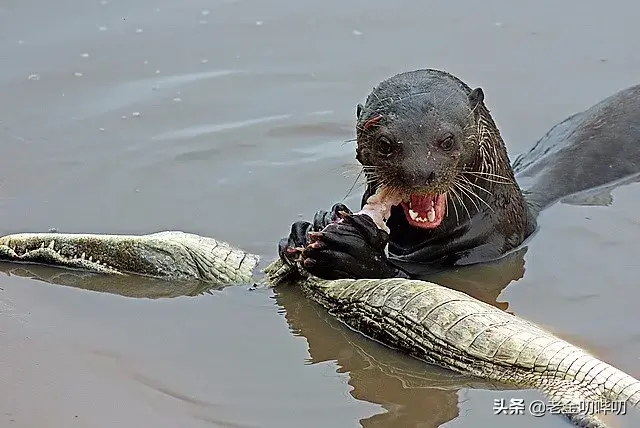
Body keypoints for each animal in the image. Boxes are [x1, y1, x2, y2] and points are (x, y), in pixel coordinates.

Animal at [278, 70, 640, 280]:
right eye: (384, 143)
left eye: (447, 139)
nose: (420, 172)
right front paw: (309, 226)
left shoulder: (489, 248)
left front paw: (351, 250)